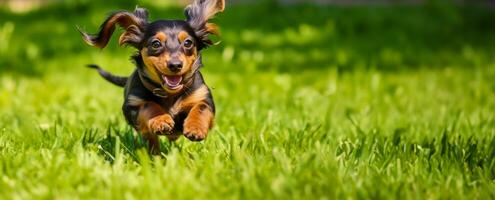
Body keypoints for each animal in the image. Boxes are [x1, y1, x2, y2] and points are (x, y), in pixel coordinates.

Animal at [79, 0, 225, 153]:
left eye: (188, 43)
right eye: (156, 44)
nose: (175, 65)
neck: (170, 93)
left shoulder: (203, 97)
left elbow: (201, 107)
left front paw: (195, 128)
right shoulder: (132, 106)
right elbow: (149, 105)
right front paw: (161, 120)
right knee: (150, 138)